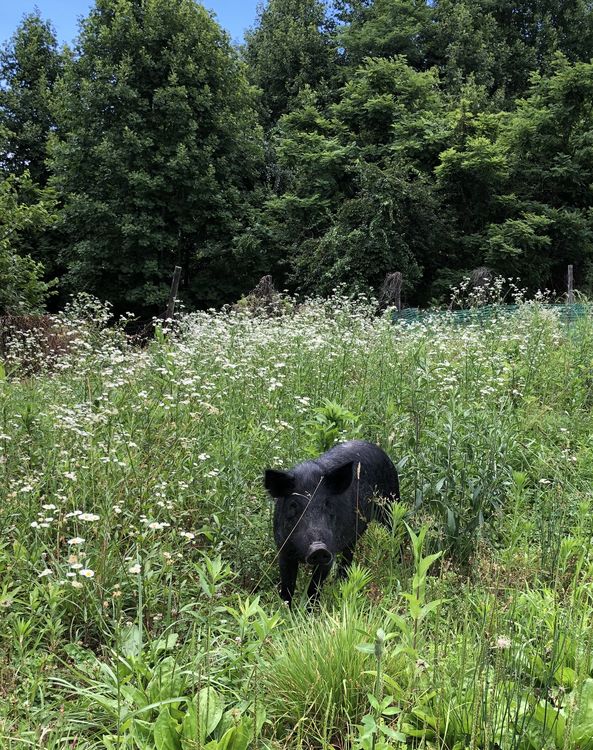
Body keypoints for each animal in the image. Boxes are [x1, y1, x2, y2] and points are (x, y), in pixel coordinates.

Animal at [264, 440, 400, 607]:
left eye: (327, 504)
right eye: (293, 505)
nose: (318, 548)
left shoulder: (330, 552)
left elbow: (314, 588)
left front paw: (311, 611)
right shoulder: (283, 550)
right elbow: (287, 588)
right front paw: (285, 611)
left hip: (391, 503)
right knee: (349, 555)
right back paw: (341, 581)